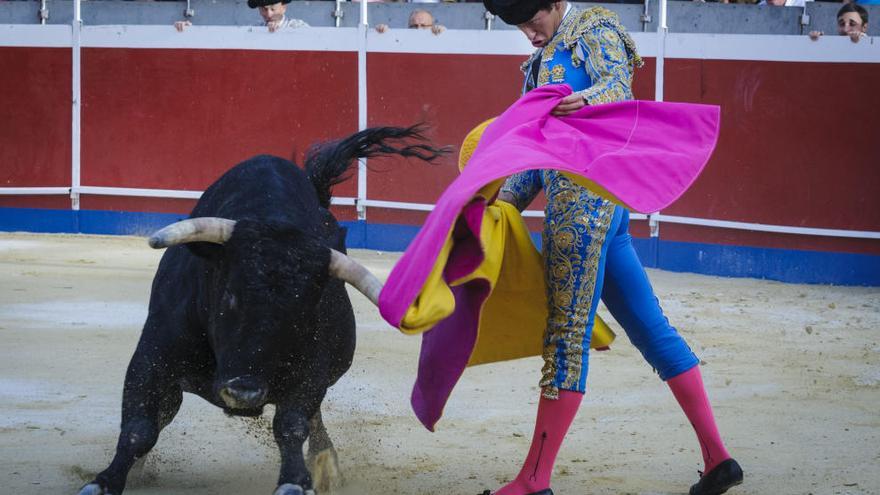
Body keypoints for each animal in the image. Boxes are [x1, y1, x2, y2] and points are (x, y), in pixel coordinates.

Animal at [77, 127, 446, 495]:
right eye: (229, 296)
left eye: (302, 313)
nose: (244, 392)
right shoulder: (153, 357)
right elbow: (139, 428)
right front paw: (104, 482)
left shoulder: (312, 371)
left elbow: (292, 424)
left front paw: (296, 481)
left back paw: (325, 463)